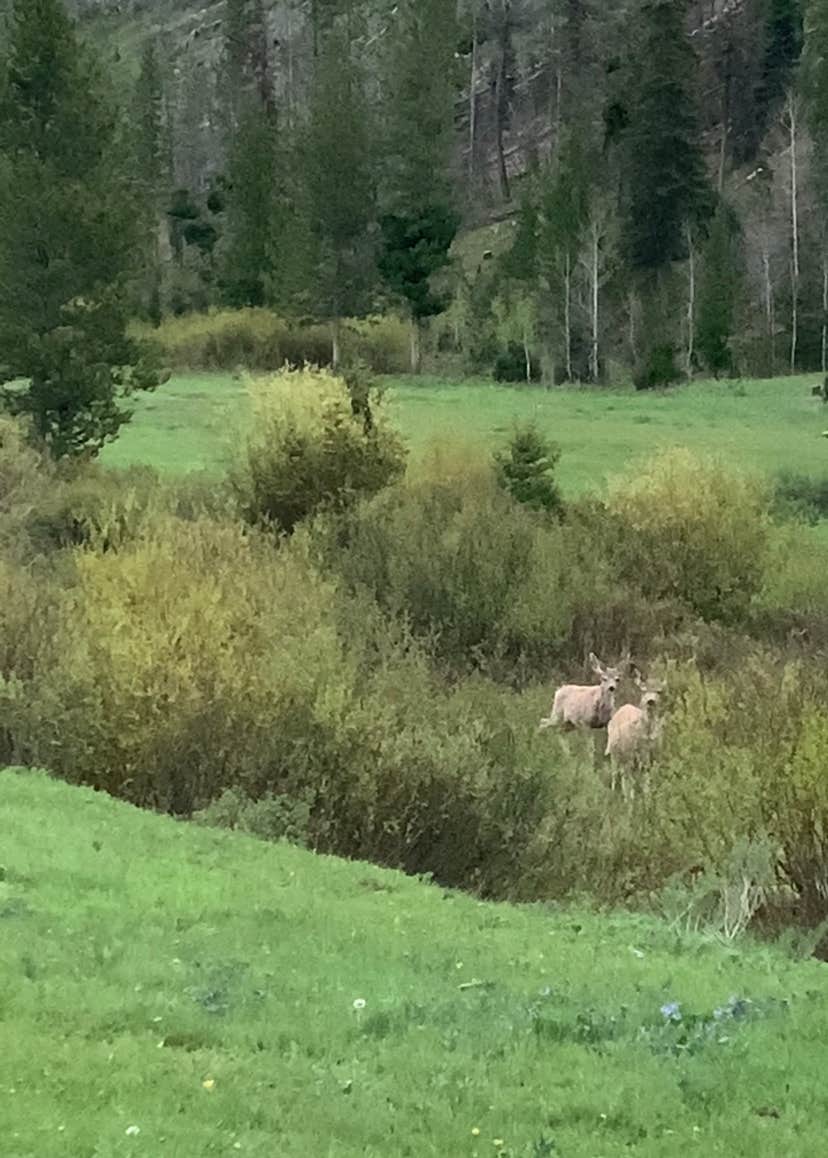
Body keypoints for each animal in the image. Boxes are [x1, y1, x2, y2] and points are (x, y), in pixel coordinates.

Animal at [606, 667, 667, 801]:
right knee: (618, 774)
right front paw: (633, 801)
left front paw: (649, 798)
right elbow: (632, 782)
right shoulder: (632, 753)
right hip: (615, 753)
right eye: (643, 690)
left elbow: (648, 779)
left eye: (659, 692)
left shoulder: (655, 754)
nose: (651, 701)